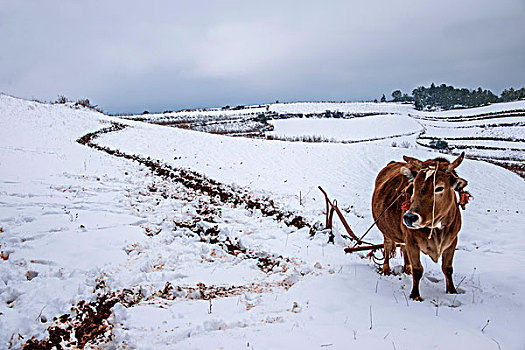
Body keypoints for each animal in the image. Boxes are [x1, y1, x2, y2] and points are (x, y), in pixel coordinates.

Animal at [370, 152, 468, 300]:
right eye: (414, 185)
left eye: (439, 188)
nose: (409, 217)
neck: (435, 230)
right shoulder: (412, 241)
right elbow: (417, 270)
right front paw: (415, 295)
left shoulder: (452, 242)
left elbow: (447, 268)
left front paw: (452, 291)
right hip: (386, 230)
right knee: (387, 247)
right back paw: (386, 269)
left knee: (403, 248)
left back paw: (407, 268)